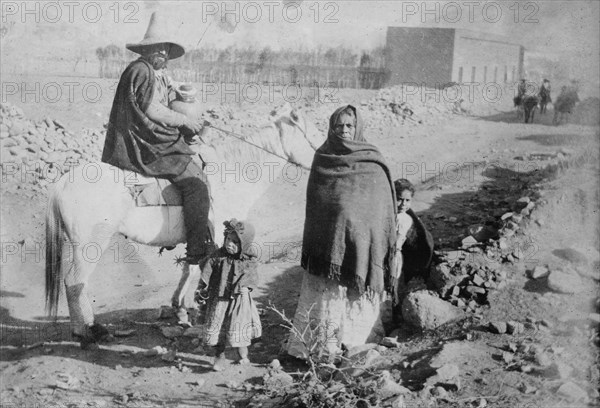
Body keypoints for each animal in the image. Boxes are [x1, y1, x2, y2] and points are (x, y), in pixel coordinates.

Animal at [44, 104, 324, 344]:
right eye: (314, 134)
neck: (231, 173)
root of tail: (62, 183)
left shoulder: (201, 236)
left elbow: (190, 268)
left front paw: (180, 308)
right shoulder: (220, 239)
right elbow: (204, 271)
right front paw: (199, 310)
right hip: (90, 245)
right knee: (75, 283)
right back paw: (87, 331)